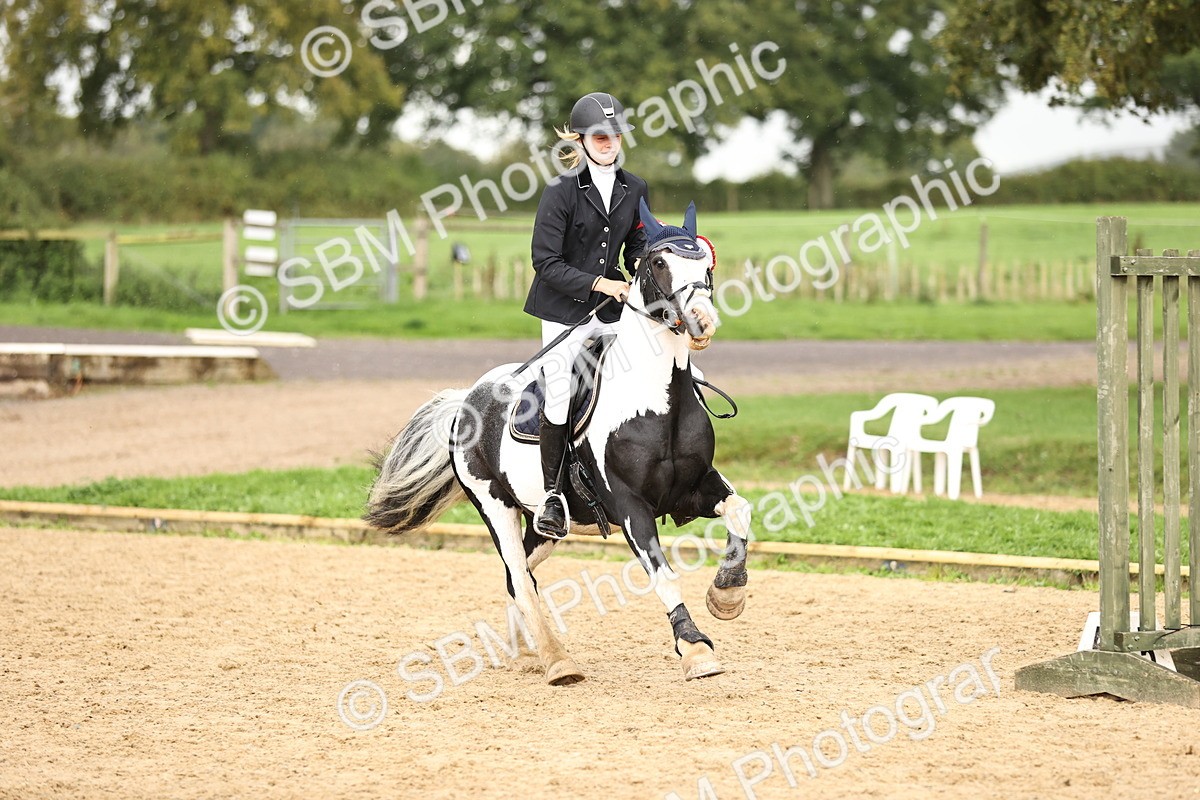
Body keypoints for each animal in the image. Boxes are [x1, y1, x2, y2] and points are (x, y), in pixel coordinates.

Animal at [364, 199, 754, 685]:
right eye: (660, 263)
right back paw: (556, 660)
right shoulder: (630, 506)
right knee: (518, 574)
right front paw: (695, 648)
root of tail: (466, 399)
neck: (659, 401)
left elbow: (741, 511)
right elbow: (662, 574)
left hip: (542, 523)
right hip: (495, 506)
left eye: (707, 265)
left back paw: (527, 650)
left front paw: (727, 594)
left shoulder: (695, 489)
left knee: (519, 577)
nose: (703, 322)